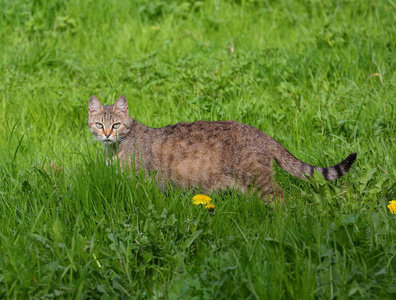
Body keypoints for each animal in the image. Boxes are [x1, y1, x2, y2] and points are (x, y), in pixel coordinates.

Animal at [88, 94, 358, 202]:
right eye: (99, 124)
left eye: (116, 125)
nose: (107, 134)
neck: (116, 149)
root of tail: (259, 132)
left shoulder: (139, 182)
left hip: (257, 178)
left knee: (280, 197)